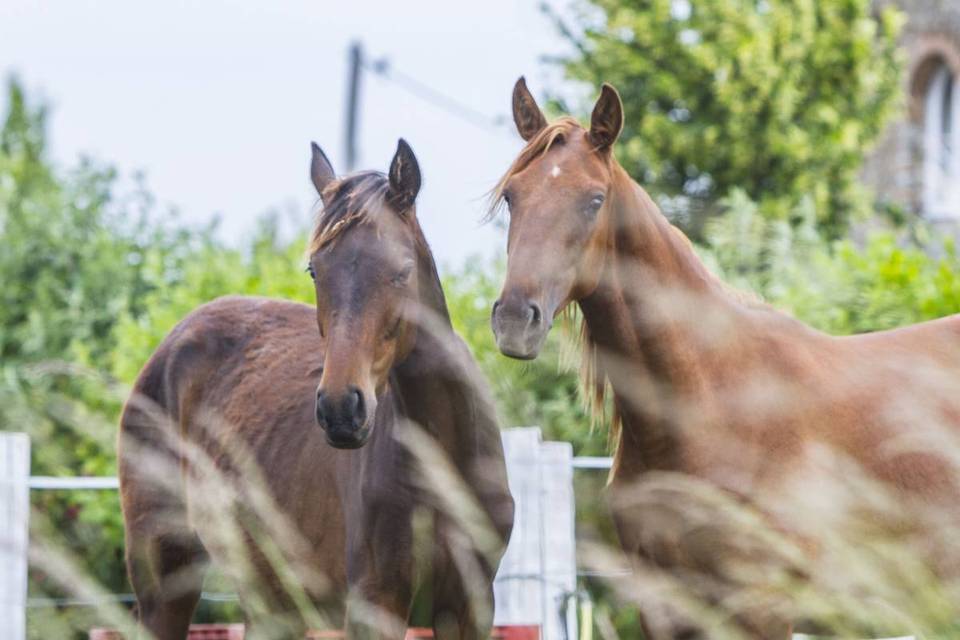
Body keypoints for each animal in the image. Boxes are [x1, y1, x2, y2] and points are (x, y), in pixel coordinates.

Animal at [123, 140, 512, 640]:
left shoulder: (470, 607)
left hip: (269, 598)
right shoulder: (374, 603)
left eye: (402, 270)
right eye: (314, 270)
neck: (444, 463)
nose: (342, 410)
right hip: (165, 585)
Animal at [492, 80, 960, 640]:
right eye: (512, 196)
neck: (711, 404)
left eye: (594, 200)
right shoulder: (663, 607)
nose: (514, 319)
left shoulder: (761, 608)